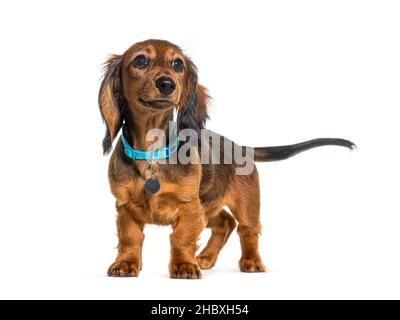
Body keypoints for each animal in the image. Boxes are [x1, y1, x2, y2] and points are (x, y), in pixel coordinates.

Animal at [99, 38, 354, 278]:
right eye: (140, 60)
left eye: (177, 64)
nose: (167, 84)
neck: (152, 153)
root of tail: (241, 147)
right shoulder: (124, 206)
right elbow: (130, 238)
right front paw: (126, 263)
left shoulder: (189, 206)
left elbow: (181, 237)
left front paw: (184, 265)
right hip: (209, 204)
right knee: (225, 223)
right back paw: (206, 257)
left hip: (244, 204)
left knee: (247, 230)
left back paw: (251, 261)